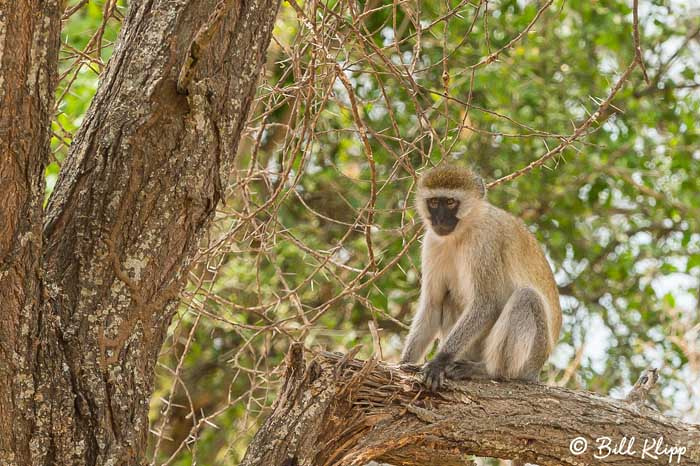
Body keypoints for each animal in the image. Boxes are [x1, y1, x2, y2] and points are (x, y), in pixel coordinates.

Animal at [400, 164, 564, 390]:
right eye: (433, 202)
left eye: (450, 202)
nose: (439, 220)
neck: (462, 232)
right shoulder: (431, 243)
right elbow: (433, 304)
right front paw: (404, 362)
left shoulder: (485, 241)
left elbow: (487, 302)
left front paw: (439, 361)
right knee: (448, 298)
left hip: (532, 356)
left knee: (526, 297)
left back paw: (489, 371)